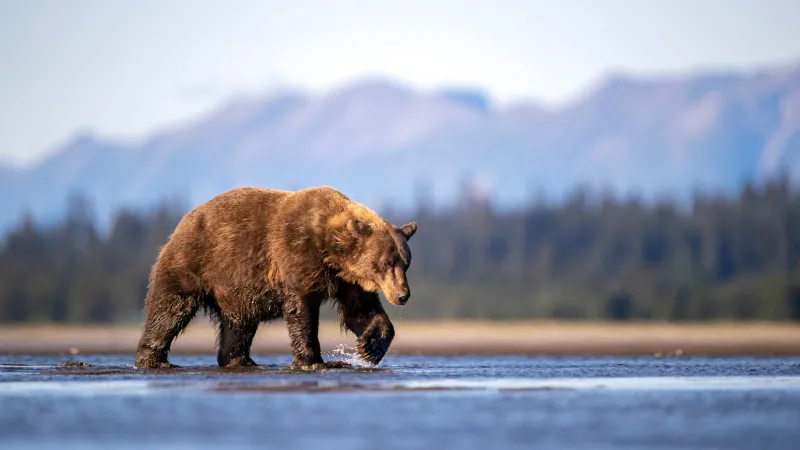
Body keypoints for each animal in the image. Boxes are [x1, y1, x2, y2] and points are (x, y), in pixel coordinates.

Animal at [133, 185, 417, 371]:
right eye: (386, 263)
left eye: (406, 263)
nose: (403, 295)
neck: (330, 250)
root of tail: (184, 220)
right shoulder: (296, 256)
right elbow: (302, 311)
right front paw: (314, 361)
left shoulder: (347, 279)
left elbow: (360, 310)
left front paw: (371, 347)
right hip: (195, 262)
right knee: (169, 309)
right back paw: (154, 360)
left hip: (236, 290)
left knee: (238, 324)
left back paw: (239, 360)